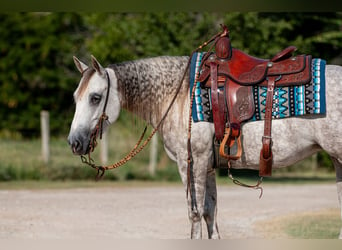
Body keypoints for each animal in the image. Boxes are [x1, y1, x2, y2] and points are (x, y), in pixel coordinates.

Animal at [67, 54, 342, 238]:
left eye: (95, 98)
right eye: (75, 98)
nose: (74, 142)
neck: (178, 97)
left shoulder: (191, 162)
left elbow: (195, 213)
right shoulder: (207, 166)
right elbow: (210, 212)